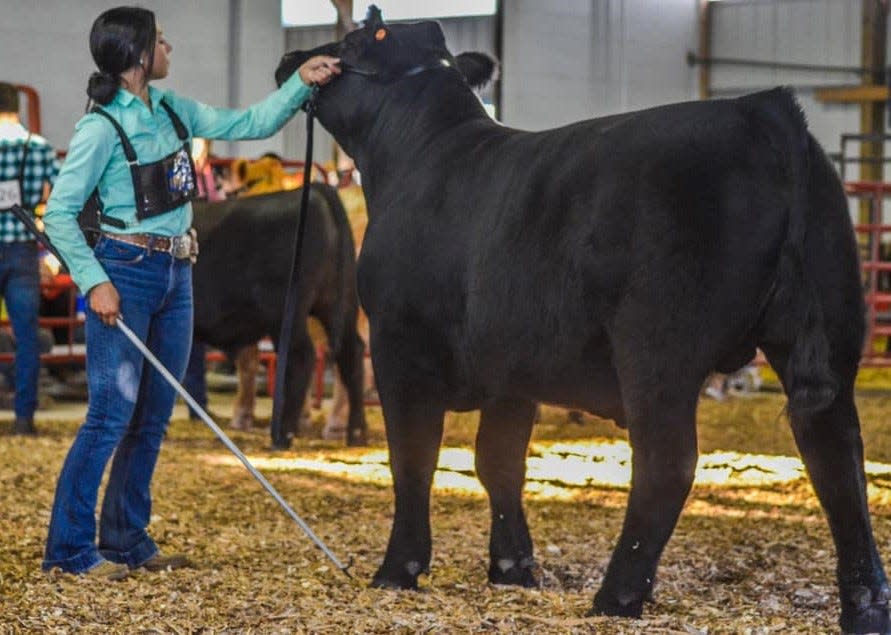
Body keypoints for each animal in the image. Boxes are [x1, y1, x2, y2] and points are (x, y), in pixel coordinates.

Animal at [190, 188, 368, 448]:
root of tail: (316, 192)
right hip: (340, 303)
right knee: (351, 353)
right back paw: (356, 433)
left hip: (285, 312)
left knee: (302, 356)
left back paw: (283, 434)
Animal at [278, 13, 891, 632]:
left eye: (356, 39)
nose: (292, 61)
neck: (422, 154)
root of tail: (765, 109)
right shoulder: (511, 368)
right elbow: (498, 461)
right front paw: (513, 568)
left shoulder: (398, 345)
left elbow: (413, 460)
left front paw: (397, 569)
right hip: (829, 328)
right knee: (836, 453)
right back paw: (866, 604)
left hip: (657, 349)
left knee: (669, 463)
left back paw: (616, 595)